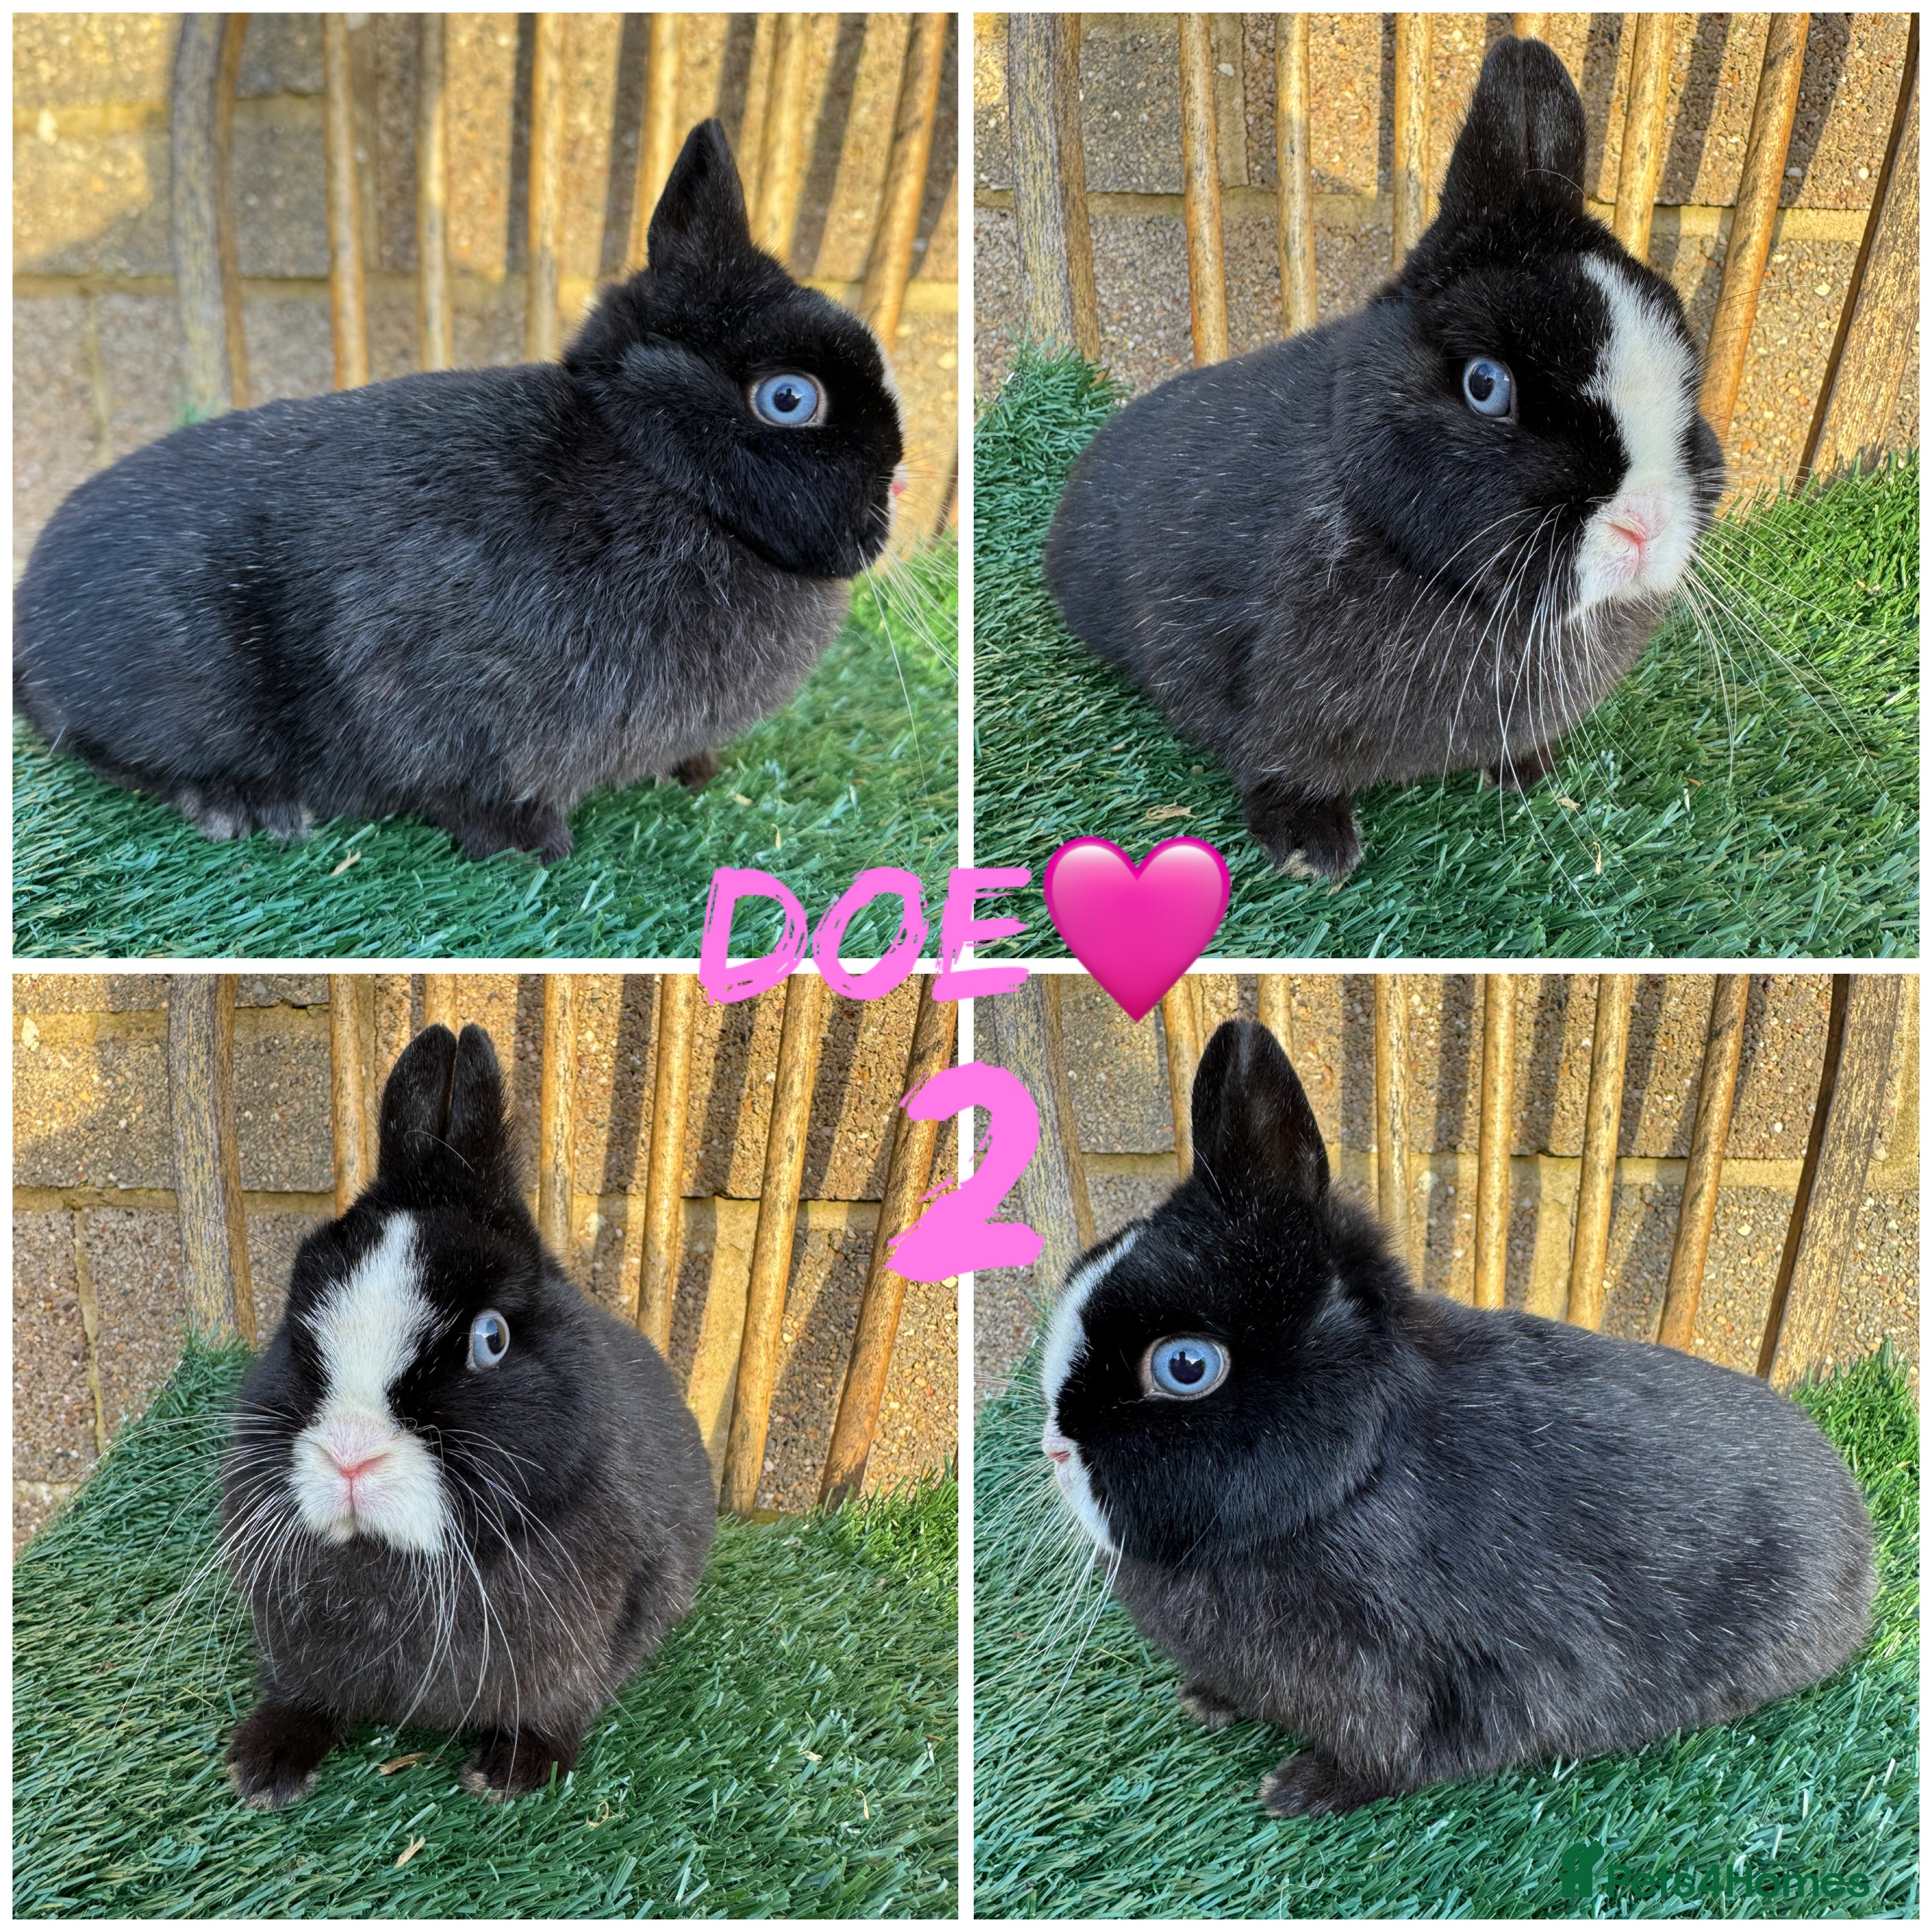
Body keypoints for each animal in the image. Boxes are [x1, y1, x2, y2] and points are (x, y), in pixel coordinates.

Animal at [14, 119, 905, 864]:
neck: (657, 468)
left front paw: (693, 771)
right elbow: (463, 781)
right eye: (789, 399)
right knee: (101, 747)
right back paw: (245, 806)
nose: (890, 497)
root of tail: (27, 624)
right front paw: (535, 849)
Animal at [220, 1021, 715, 1807]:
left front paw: (510, 1774)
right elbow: (304, 1695)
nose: (350, 1455)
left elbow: (559, 1705)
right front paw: (263, 1767)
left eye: (492, 1339)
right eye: (295, 1326)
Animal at [1040, 1017, 1876, 1818]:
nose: (1053, 1450)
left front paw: (1299, 1792)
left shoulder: (1430, 1688)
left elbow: (1400, 1760)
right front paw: (1206, 1701)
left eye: (1185, 1367)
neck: (1354, 1482)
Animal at [1043, 36, 1726, 879]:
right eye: (1485, 386)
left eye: (1689, 380)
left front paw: (1527, 774)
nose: (1646, 524)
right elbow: (1271, 759)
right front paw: (1311, 850)